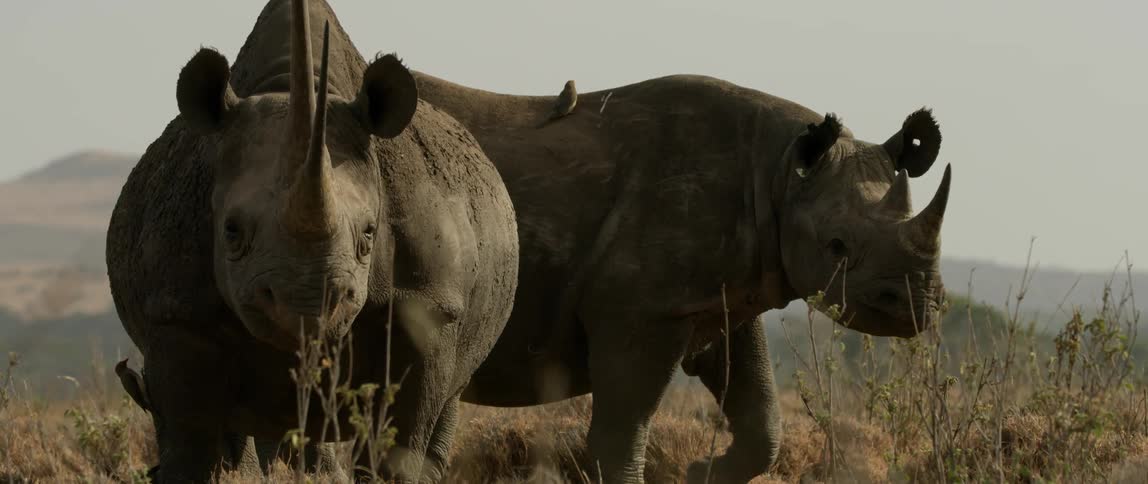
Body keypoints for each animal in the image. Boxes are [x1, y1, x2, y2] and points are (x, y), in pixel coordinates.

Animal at [105, 0, 519, 481]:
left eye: (369, 234)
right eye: (231, 231)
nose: (307, 303)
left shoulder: (429, 304)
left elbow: (399, 441)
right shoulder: (175, 311)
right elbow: (193, 450)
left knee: (448, 395)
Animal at [406, 72, 952, 482]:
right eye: (837, 245)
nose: (919, 303)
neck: (778, 173)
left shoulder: (720, 296)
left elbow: (762, 420)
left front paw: (701, 472)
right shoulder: (643, 310)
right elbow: (621, 436)